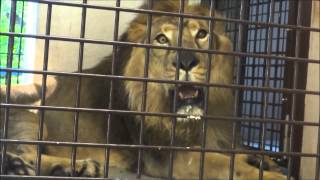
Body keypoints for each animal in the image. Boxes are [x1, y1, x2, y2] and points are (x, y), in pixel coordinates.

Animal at [0, 0, 284, 179]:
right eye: (162, 39)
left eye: (201, 34)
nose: (186, 62)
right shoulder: (169, 158)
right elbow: (230, 165)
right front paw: (271, 174)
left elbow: (239, 153)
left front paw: (264, 159)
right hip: (31, 118)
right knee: (25, 153)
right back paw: (68, 166)